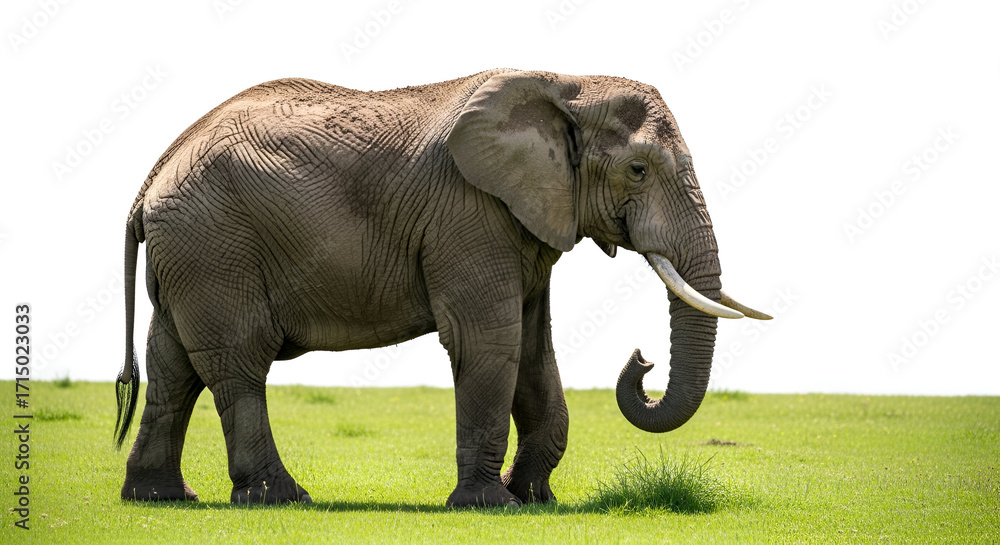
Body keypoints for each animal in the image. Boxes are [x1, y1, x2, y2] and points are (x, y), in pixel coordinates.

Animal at [113, 68, 770, 508]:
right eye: (638, 170)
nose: (641, 359)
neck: (566, 84)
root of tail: (153, 177)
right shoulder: (468, 212)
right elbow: (491, 342)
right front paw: (491, 505)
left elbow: (534, 350)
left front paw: (534, 499)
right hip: (214, 244)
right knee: (238, 362)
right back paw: (283, 497)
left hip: (192, 253)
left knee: (173, 366)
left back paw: (161, 497)